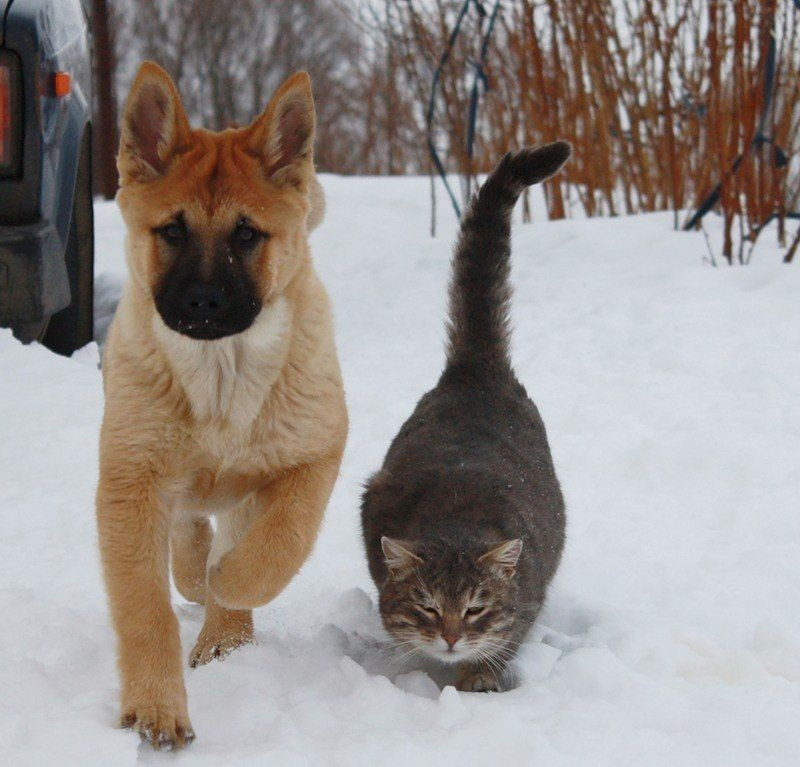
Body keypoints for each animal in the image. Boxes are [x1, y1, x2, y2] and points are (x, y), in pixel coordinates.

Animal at [96, 64, 346, 752]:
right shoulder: (131, 482)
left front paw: (228, 589)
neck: (221, 376)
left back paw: (221, 633)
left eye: (247, 235)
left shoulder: (315, 456)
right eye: (173, 230)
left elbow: (279, 547)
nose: (204, 303)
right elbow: (146, 608)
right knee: (187, 537)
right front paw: (155, 708)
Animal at [360, 141, 572, 692]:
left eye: (476, 609)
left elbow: (504, 639)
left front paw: (478, 679)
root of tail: (476, 368)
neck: (456, 517)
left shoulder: (527, 599)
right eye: (428, 608)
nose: (452, 637)